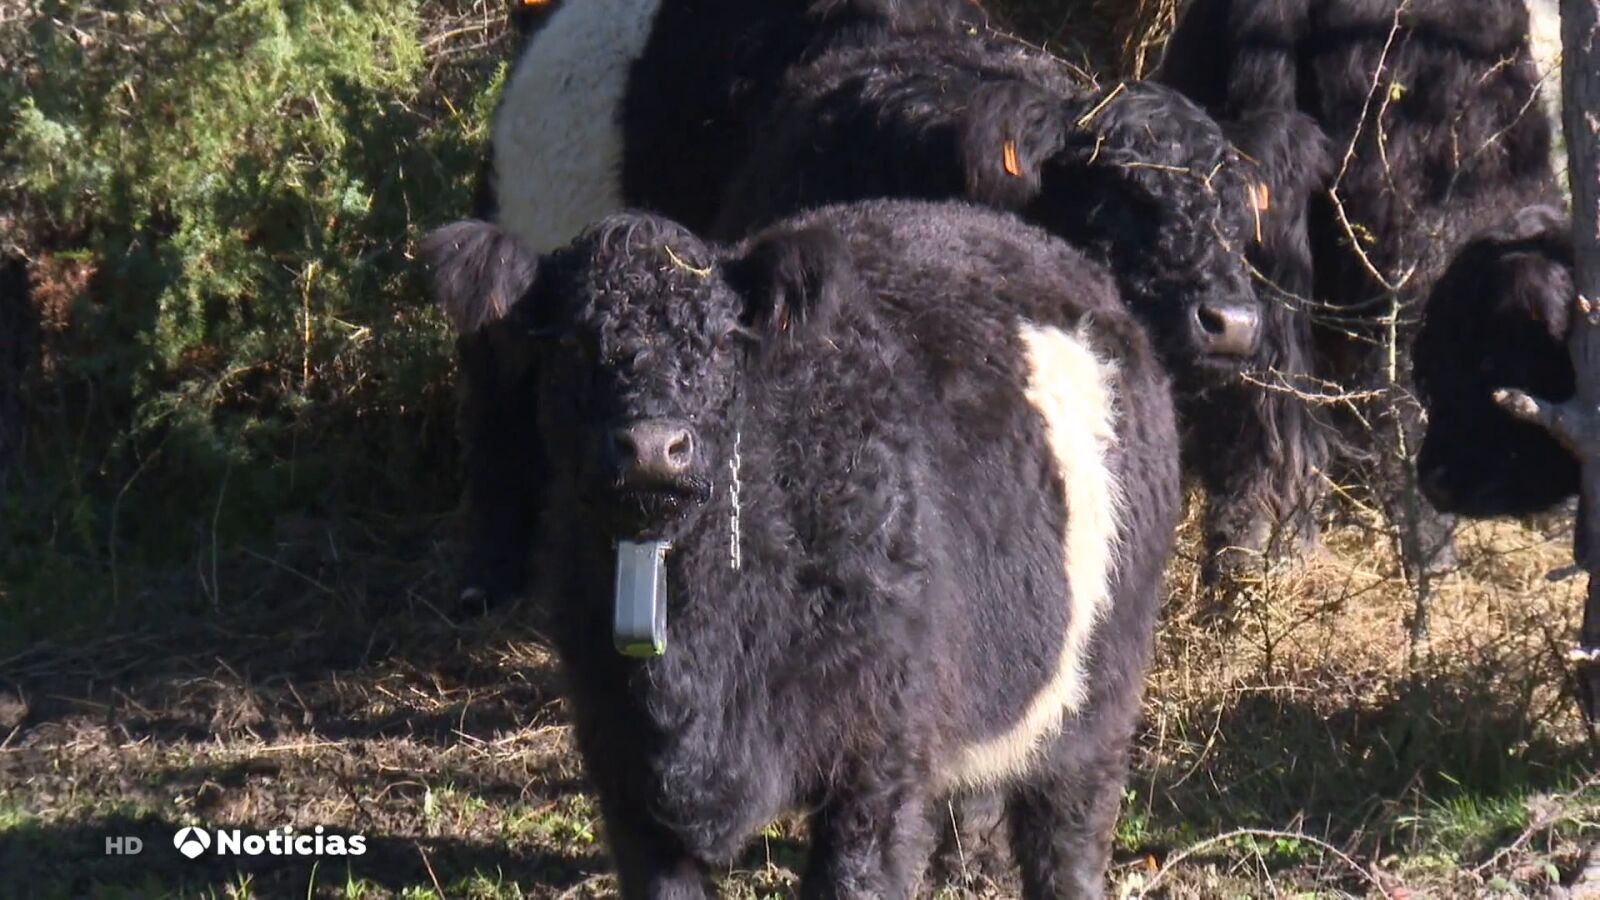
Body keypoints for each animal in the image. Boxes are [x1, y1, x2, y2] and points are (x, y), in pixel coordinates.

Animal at [424, 198, 1181, 899]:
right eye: (575, 347)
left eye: (722, 342)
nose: (652, 448)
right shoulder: (620, 758)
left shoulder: (881, 753)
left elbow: (856, 876)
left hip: (1104, 676)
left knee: (1070, 826)